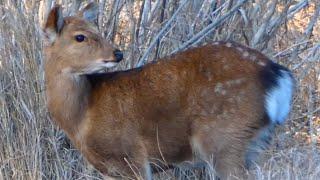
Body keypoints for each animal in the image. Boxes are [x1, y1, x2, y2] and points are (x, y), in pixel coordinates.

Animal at [43, 2, 296, 180]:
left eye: (97, 31)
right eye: (80, 37)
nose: (117, 53)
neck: (81, 119)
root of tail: (277, 75)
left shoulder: (130, 157)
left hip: (224, 138)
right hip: (257, 142)